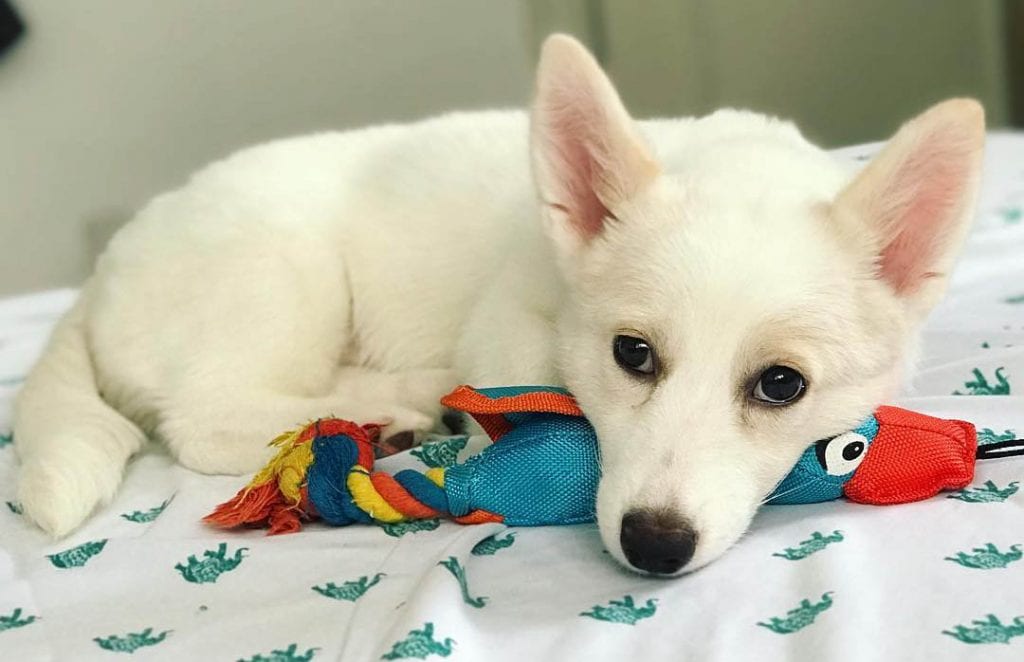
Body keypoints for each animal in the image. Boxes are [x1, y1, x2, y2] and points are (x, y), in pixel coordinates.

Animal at [9, 35, 983, 573]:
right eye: (633, 355)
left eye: (782, 385)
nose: (653, 547)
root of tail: (98, 277)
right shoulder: (503, 325)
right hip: (282, 272)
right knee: (205, 415)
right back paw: (395, 407)